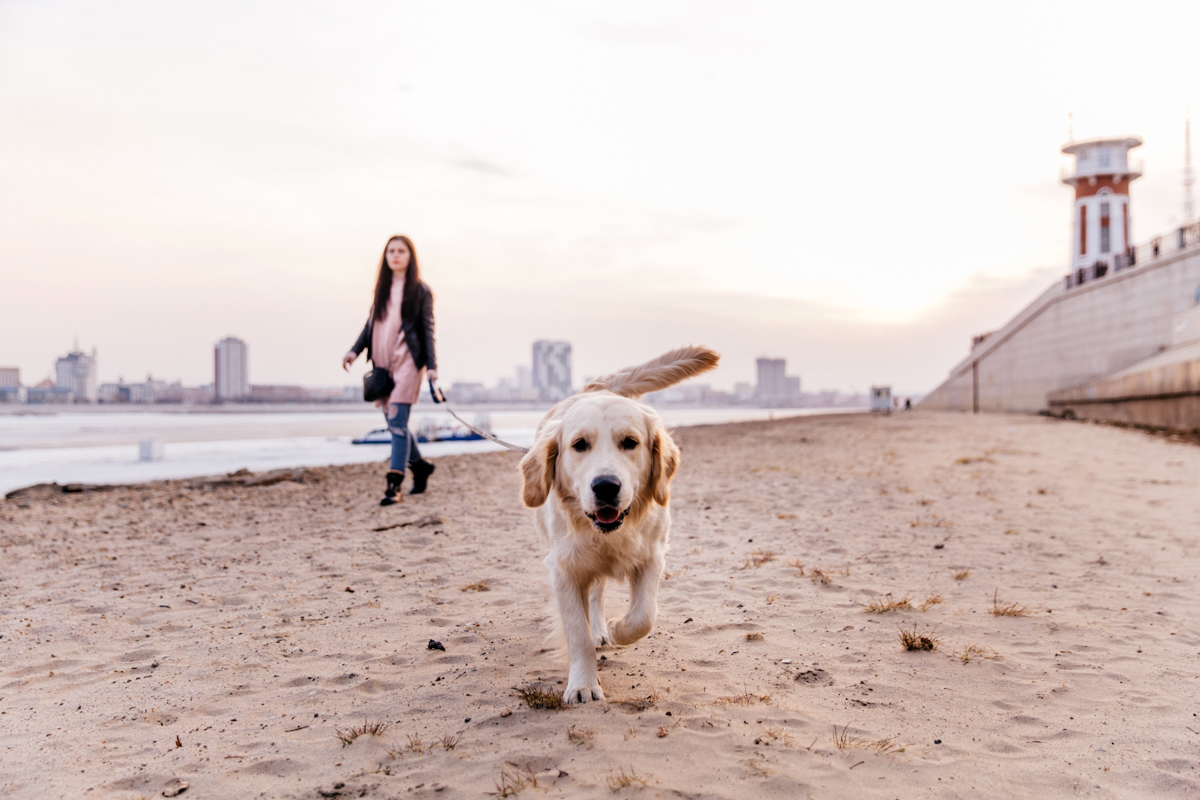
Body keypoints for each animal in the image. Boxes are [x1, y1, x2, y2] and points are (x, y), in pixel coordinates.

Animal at [520, 345, 715, 700]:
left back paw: (603, 628)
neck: (609, 534)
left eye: (630, 442)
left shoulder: (652, 555)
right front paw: (583, 684)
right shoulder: (564, 568)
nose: (606, 486)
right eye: (579, 445)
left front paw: (617, 629)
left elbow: (643, 617)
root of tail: (594, 387)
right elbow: (577, 632)